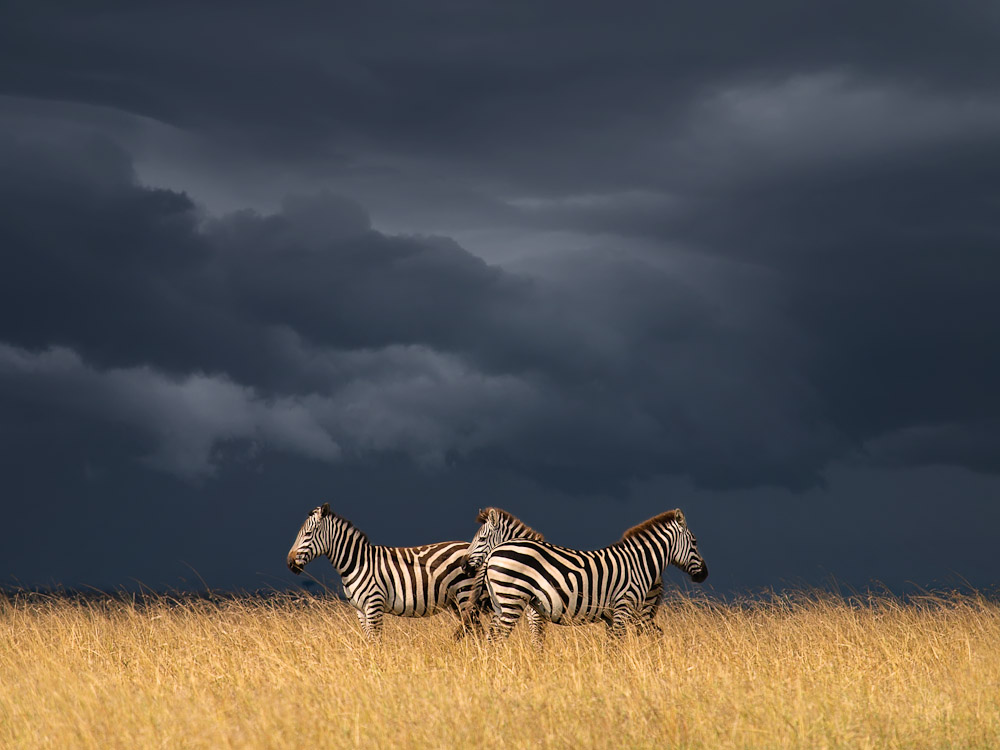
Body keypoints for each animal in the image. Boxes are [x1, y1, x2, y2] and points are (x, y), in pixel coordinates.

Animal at [284, 506, 486, 640]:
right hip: (456, 601)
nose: (289, 563)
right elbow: (369, 640)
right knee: (473, 629)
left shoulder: (374, 603)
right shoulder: (360, 609)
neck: (356, 564)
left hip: (465, 594)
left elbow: (376, 640)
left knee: (475, 629)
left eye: (307, 534)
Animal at [472, 512, 708, 648]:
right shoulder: (622, 607)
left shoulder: (614, 613)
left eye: (481, 538)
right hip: (511, 599)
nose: (704, 574)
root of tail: (494, 553)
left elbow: (611, 646)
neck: (639, 562)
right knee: (496, 638)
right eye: (696, 542)